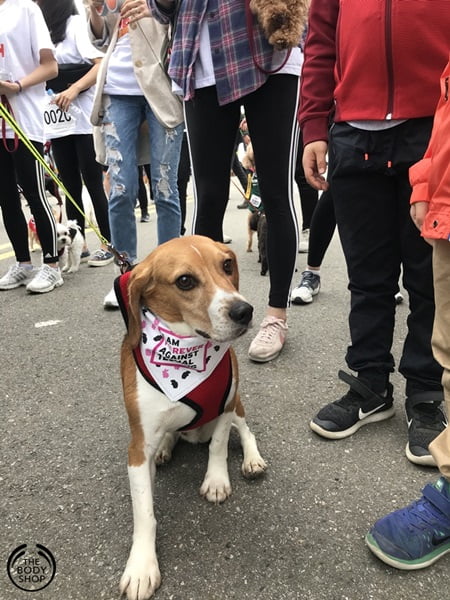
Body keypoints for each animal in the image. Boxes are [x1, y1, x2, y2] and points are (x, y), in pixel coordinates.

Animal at [114, 234, 268, 600]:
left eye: (226, 265)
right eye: (185, 281)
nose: (244, 311)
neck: (186, 348)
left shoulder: (225, 406)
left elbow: (219, 447)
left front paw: (216, 481)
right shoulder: (137, 449)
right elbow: (144, 511)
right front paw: (141, 566)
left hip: (238, 406)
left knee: (246, 432)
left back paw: (252, 460)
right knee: (172, 434)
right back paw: (167, 448)